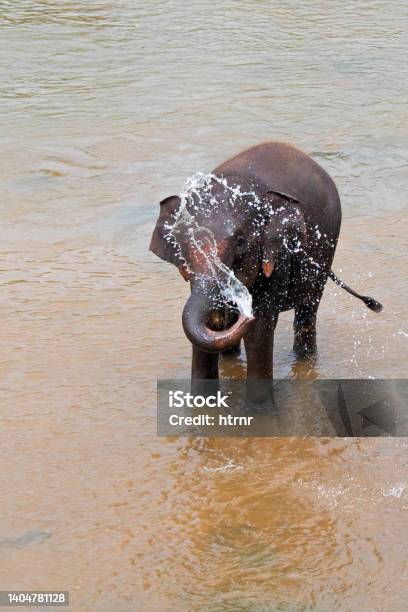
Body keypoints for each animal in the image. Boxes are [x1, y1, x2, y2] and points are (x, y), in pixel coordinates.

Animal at [151, 142, 382, 392]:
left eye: (241, 241)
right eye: (183, 242)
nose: (243, 305)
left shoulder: (278, 255)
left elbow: (260, 328)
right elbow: (211, 323)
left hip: (327, 246)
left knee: (307, 310)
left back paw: (304, 359)